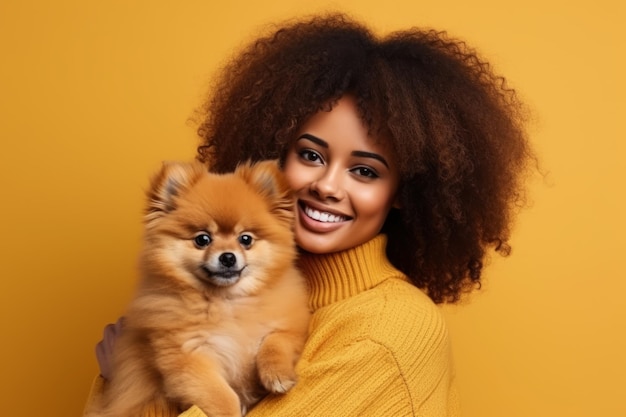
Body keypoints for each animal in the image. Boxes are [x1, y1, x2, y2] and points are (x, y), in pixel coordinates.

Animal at [86, 160, 310, 416]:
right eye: (203, 239)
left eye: (245, 239)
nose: (228, 257)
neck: (227, 301)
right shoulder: (188, 355)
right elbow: (221, 396)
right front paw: (231, 411)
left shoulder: (287, 326)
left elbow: (275, 344)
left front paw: (278, 375)